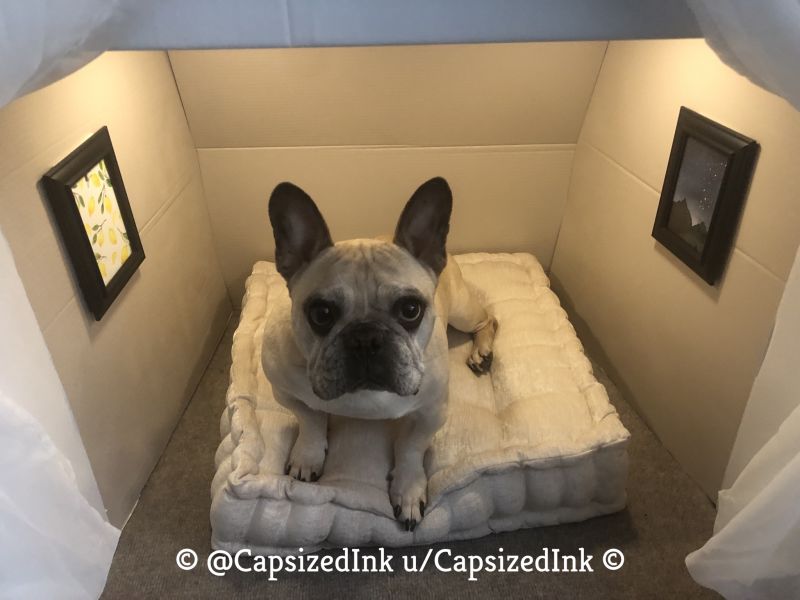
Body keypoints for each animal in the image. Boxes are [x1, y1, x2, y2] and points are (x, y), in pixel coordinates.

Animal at [262, 177, 496, 528]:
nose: (365, 337)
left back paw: (482, 351)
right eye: (321, 313)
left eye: (411, 309)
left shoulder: (431, 412)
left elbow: (412, 450)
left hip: (461, 310)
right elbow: (310, 419)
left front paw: (409, 491)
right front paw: (308, 455)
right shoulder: (285, 391)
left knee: (488, 318)